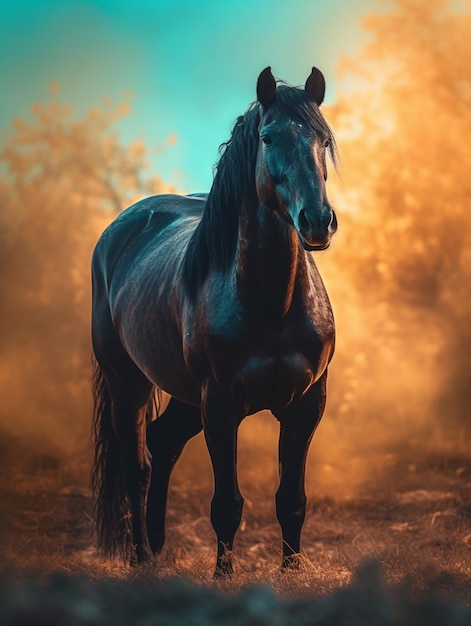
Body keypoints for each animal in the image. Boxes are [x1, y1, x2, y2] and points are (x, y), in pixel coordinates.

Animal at [90, 67, 338, 576]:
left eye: (325, 139)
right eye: (268, 137)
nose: (317, 221)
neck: (273, 305)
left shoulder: (307, 404)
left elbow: (292, 500)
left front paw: (292, 573)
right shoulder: (221, 406)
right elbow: (227, 503)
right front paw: (223, 576)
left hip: (186, 395)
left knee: (163, 442)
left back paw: (158, 544)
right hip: (130, 383)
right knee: (136, 465)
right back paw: (141, 556)